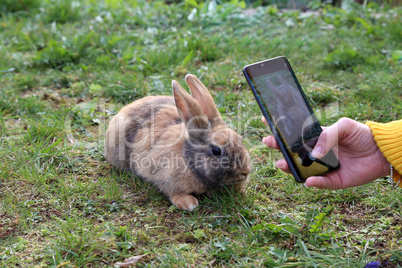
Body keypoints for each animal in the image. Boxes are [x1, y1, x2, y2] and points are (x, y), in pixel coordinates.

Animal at [105, 74, 250, 211]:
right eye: (216, 150)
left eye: (239, 139)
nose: (245, 172)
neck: (189, 158)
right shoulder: (163, 175)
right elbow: (173, 192)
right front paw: (189, 203)